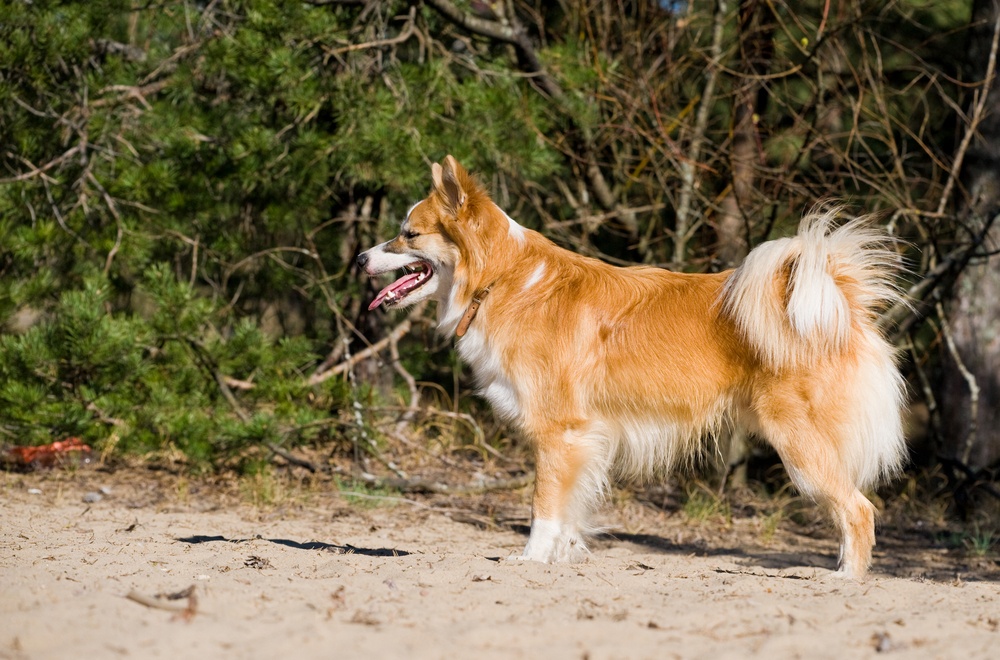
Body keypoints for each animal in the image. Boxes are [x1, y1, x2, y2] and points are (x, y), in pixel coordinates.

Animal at [360, 156, 908, 576]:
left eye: (408, 235)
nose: (361, 258)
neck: (504, 279)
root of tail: (841, 300)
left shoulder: (558, 433)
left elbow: (543, 507)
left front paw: (533, 559)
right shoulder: (585, 440)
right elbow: (570, 510)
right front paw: (564, 556)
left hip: (800, 443)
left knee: (859, 511)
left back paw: (845, 579)